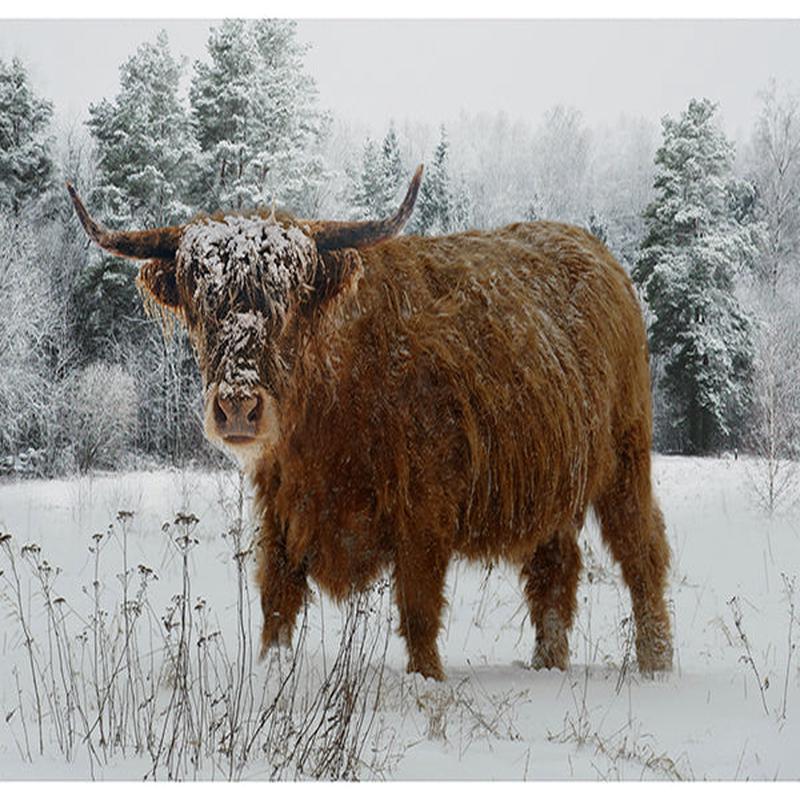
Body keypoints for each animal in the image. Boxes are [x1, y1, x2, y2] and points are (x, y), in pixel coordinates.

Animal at [67, 167, 673, 681]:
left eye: (288, 305)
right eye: (202, 305)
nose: (238, 406)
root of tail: (600, 257)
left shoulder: (424, 508)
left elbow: (419, 611)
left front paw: (428, 682)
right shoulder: (281, 509)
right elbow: (277, 603)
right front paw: (271, 673)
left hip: (626, 461)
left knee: (641, 554)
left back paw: (655, 665)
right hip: (551, 481)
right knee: (554, 571)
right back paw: (548, 665)